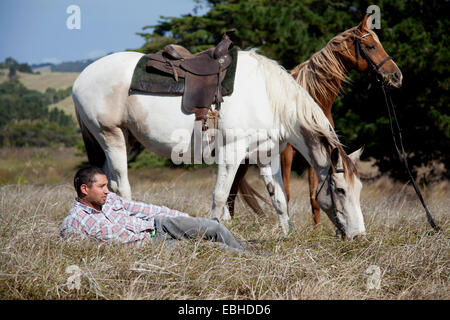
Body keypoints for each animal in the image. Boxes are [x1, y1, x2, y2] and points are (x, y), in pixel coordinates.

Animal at [71, 50, 366, 239]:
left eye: (359, 189)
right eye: (340, 190)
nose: (359, 235)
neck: (268, 97)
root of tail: (81, 78)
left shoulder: (266, 157)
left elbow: (279, 199)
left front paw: (288, 237)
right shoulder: (231, 153)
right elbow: (221, 196)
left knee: (109, 184)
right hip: (111, 137)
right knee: (122, 185)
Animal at [227, 13, 402, 225]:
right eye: (370, 46)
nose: (397, 76)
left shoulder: (317, 151)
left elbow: (314, 196)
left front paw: (317, 229)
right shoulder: (286, 154)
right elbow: (286, 194)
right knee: (232, 191)